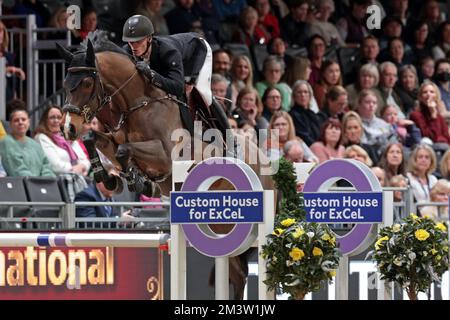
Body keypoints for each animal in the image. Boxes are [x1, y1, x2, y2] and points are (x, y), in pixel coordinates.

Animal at [56, 37, 274, 300]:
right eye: (65, 84)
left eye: (87, 83)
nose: (68, 128)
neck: (138, 104)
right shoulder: (112, 139)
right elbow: (94, 139)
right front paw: (110, 178)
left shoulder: (165, 155)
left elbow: (125, 150)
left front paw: (137, 180)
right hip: (224, 227)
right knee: (237, 271)